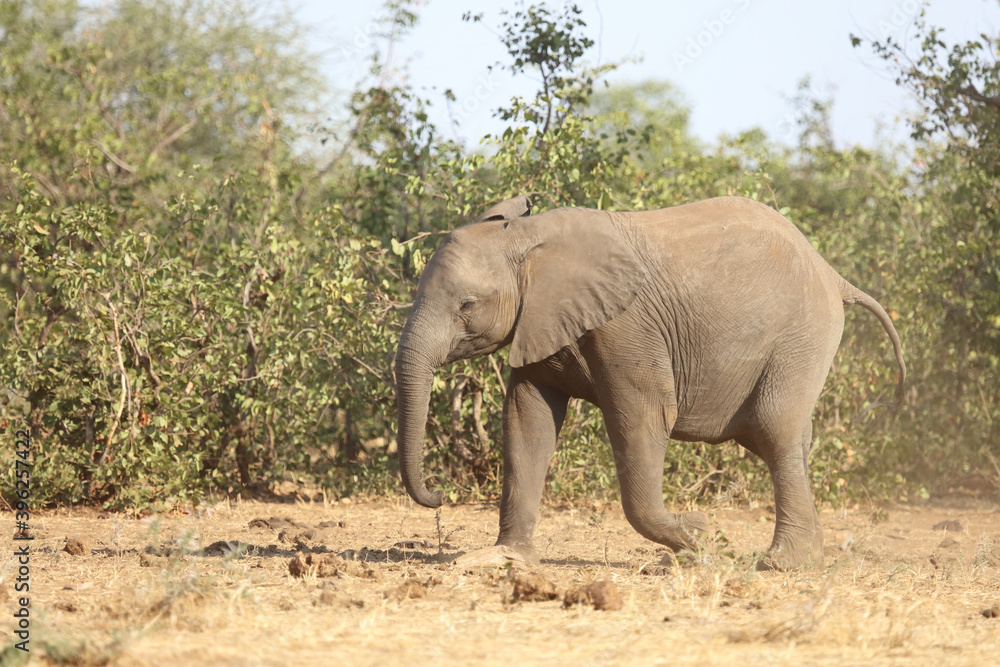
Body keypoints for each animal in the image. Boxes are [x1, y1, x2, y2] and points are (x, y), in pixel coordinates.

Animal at [392, 196, 908, 572]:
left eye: (466, 305)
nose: (440, 496)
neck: (530, 238)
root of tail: (834, 275)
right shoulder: (538, 321)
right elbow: (527, 420)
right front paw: (504, 559)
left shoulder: (626, 326)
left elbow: (643, 415)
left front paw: (699, 537)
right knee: (784, 440)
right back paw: (809, 557)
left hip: (803, 335)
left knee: (774, 428)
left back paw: (783, 565)